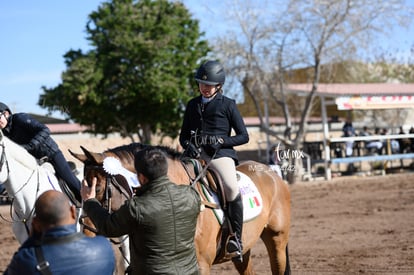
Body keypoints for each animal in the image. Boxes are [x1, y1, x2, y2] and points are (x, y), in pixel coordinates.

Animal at [70, 143, 292, 274]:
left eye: (98, 188)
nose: (85, 231)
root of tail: (270, 172)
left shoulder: (201, 265)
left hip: (277, 240)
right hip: (244, 248)